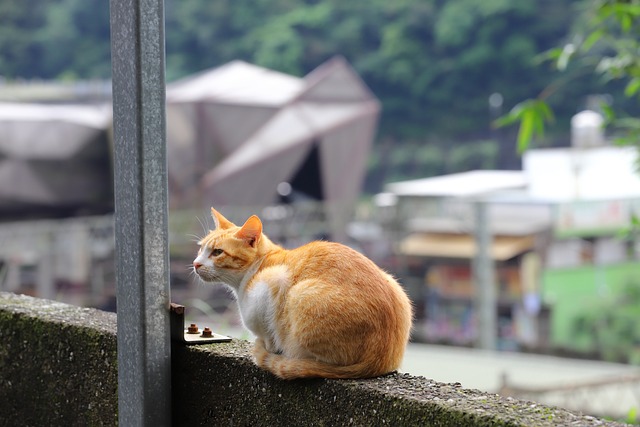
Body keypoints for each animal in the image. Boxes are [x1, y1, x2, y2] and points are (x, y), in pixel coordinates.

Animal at [192, 209, 412, 380]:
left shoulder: (272, 281)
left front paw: (268, 346)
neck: (259, 266)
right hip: (394, 284)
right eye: (201, 249)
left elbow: (268, 334)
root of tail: (378, 360)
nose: (196, 264)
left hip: (299, 293)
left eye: (217, 252)